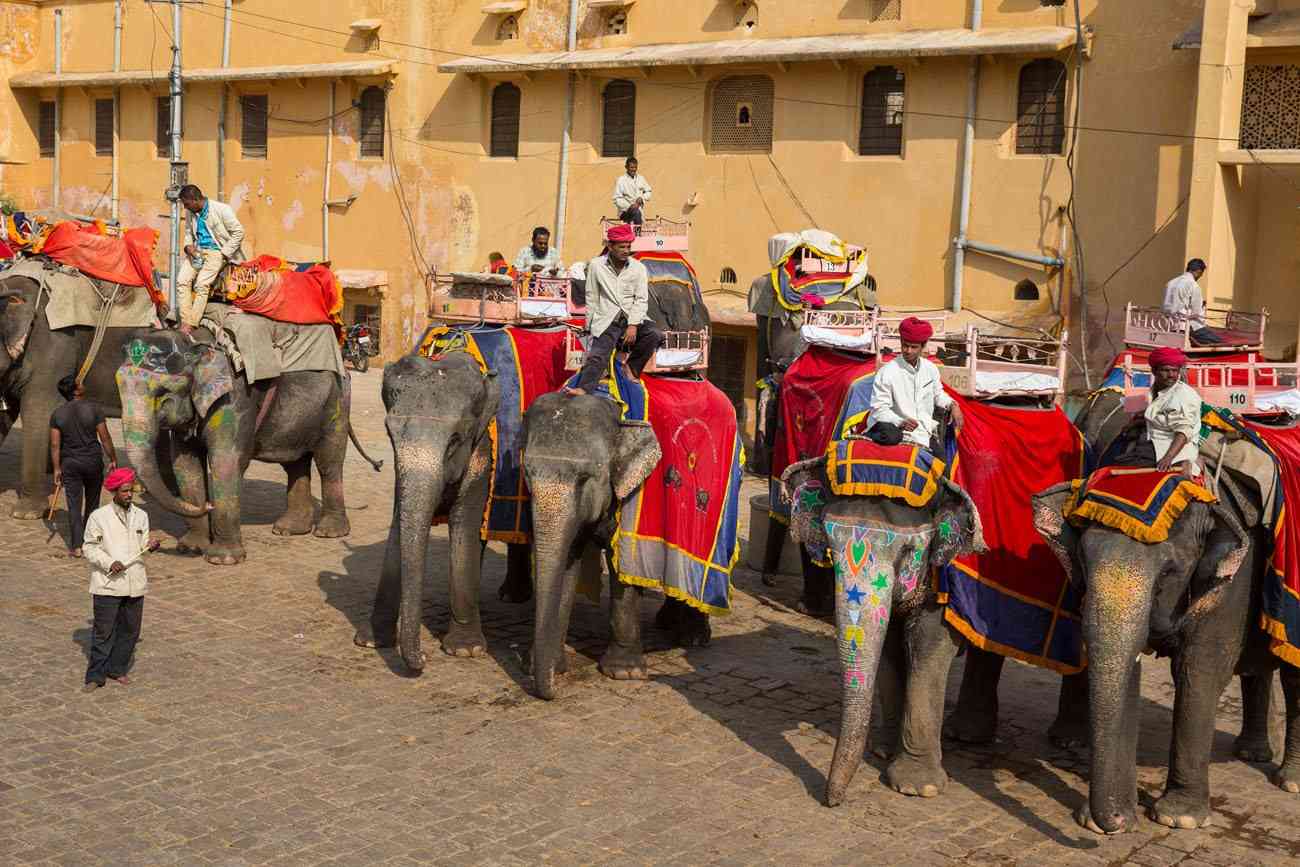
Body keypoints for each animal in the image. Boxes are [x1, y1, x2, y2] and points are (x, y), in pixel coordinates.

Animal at [116, 322, 378, 565]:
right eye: (118, 387)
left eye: (163, 394)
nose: (208, 506)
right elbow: (186, 466)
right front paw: (190, 548)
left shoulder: (235, 401)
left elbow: (226, 462)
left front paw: (222, 560)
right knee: (296, 463)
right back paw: (288, 530)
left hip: (337, 404)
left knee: (328, 462)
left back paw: (328, 532)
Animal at [1032, 463, 1300, 834]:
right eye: (1083, 562)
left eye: (1167, 574)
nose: (1113, 822)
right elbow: (1126, 670)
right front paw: (1108, 820)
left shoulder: (1233, 585)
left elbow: (1197, 671)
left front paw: (1179, 817)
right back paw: (1252, 753)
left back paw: (1289, 781)